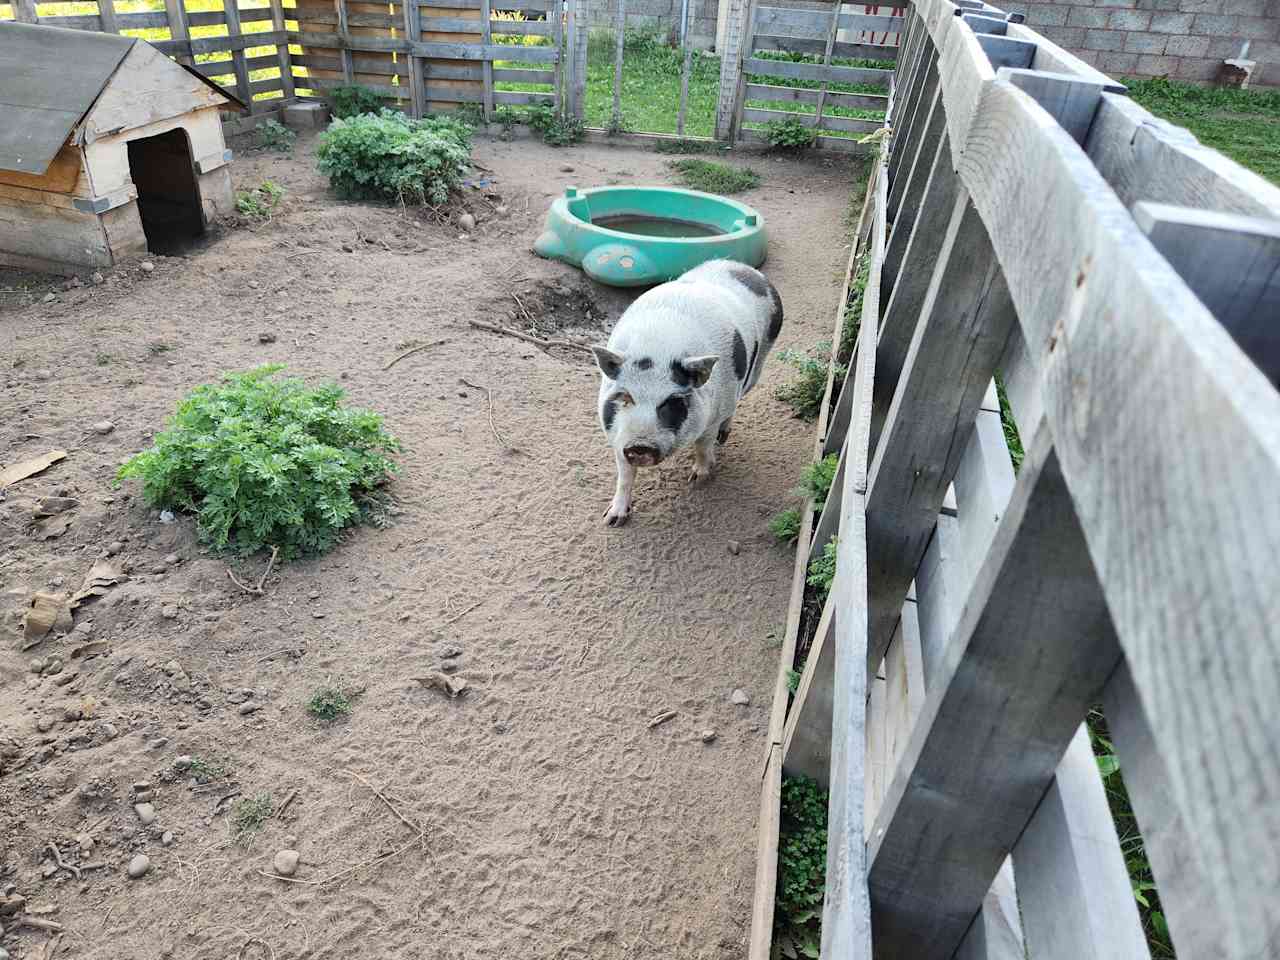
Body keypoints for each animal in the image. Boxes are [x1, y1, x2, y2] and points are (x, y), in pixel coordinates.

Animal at [593, 259, 783, 527]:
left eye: (672, 401)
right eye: (625, 397)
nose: (640, 445)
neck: (658, 347)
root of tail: (742, 267)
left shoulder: (712, 415)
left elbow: (703, 446)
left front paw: (698, 480)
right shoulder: (618, 436)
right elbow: (625, 474)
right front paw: (612, 520)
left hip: (758, 366)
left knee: (737, 402)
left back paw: (724, 437)